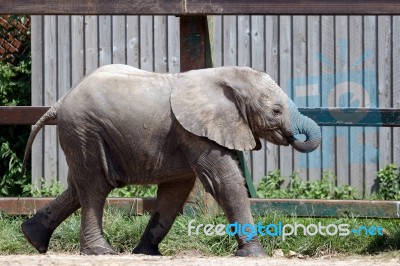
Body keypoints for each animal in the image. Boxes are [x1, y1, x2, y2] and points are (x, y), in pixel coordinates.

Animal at [21, 64, 322, 256]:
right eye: (276, 110)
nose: (294, 137)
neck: (227, 77)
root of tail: (60, 102)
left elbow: (175, 193)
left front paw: (146, 254)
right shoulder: (194, 129)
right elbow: (224, 181)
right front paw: (255, 255)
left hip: (83, 135)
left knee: (79, 187)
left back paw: (33, 239)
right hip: (85, 130)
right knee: (96, 187)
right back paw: (100, 252)